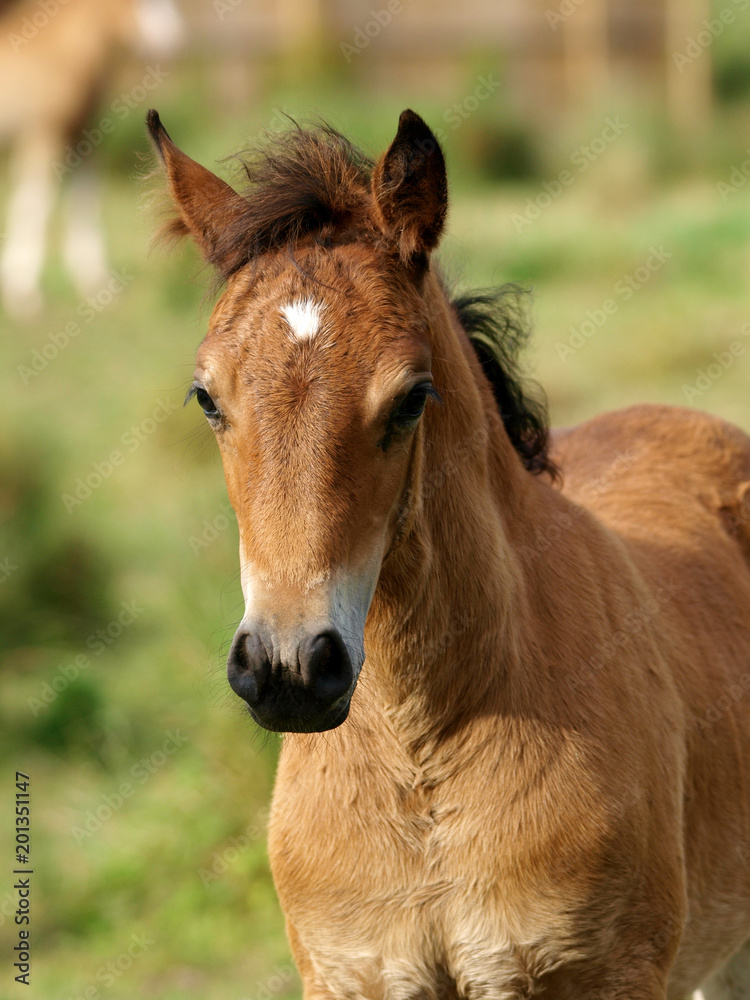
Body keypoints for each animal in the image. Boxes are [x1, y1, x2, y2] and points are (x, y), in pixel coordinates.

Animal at [0, 0, 184, 316]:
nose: (170, 42)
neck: (59, 52)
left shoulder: (82, 137)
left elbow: (84, 199)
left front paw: (95, 284)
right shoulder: (41, 137)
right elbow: (35, 206)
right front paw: (24, 295)